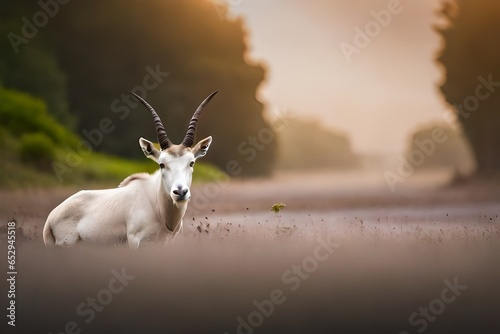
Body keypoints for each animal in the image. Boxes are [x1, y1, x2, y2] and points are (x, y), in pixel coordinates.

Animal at [42, 90, 216, 247]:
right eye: (161, 164)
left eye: (191, 162)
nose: (180, 192)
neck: (158, 207)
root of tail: (51, 218)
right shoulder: (134, 241)